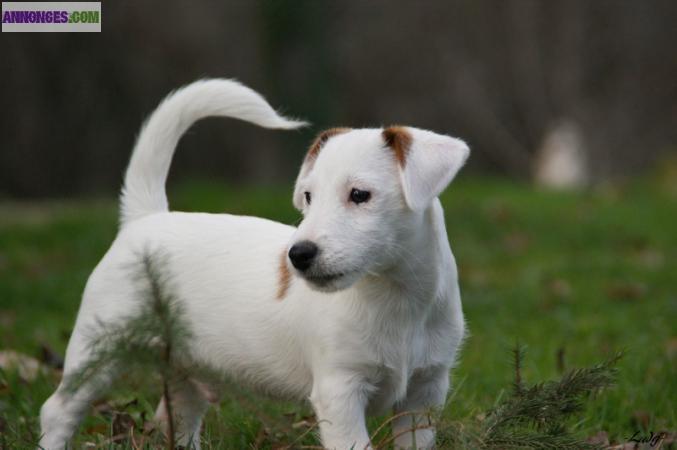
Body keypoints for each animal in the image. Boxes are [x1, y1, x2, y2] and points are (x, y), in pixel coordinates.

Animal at [39, 79, 468, 448]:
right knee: (58, 410)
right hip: (101, 346)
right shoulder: (340, 391)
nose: (298, 255)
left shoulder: (424, 394)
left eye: (360, 195)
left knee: (178, 417)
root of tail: (146, 218)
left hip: (184, 367)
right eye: (308, 196)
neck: (394, 296)